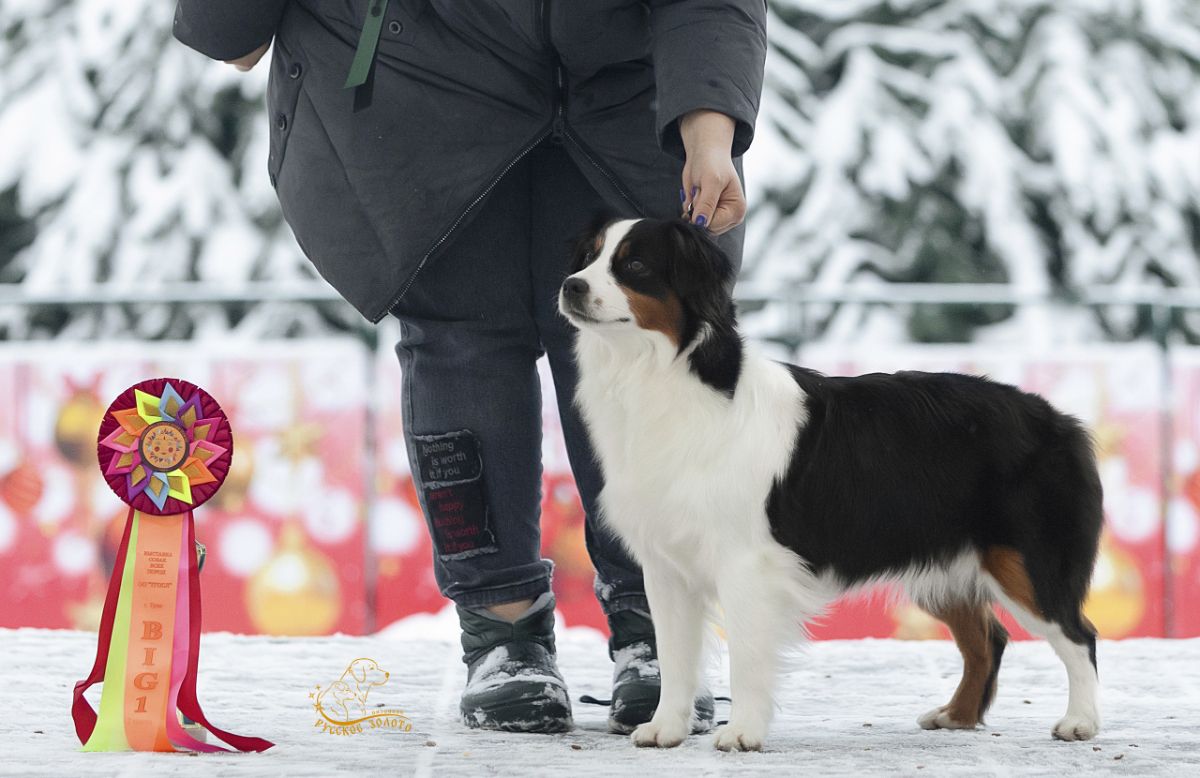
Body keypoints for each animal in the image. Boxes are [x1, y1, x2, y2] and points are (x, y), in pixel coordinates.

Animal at [556, 216, 1099, 749]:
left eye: (635, 266)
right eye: (589, 257)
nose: (570, 285)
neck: (663, 374)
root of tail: (1061, 420)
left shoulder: (746, 562)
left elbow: (746, 656)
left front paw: (742, 732)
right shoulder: (666, 564)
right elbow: (672, 655)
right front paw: (666, 728)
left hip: (1026, 564)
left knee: (1078, 635)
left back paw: (1080, 722)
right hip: (944, 562)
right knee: (988, 639)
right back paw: (956, 716)